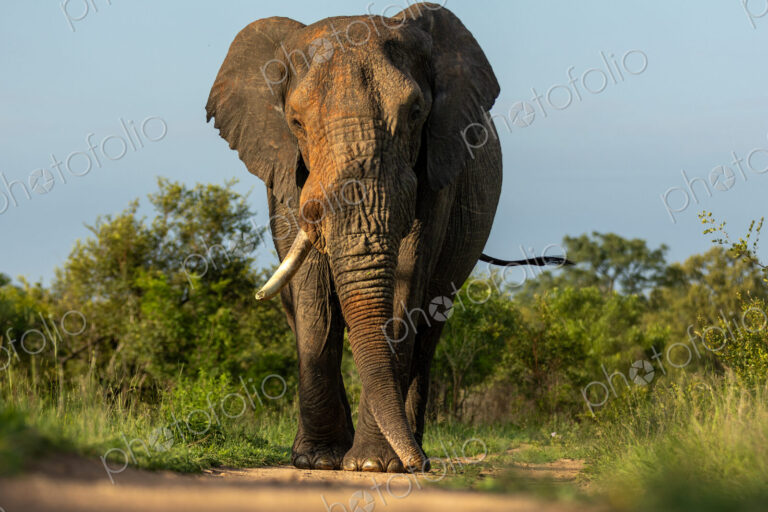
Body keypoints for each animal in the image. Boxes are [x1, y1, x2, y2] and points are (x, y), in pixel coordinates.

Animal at [206, 2, 567, 473]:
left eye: (415, 112)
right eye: (296, 122)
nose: (422, 467)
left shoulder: (434, 171)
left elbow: (407, 279)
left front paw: (374, 465)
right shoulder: (286, 174)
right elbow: (313, 291)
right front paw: (318, 460)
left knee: (430, 327)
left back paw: (407, 445)